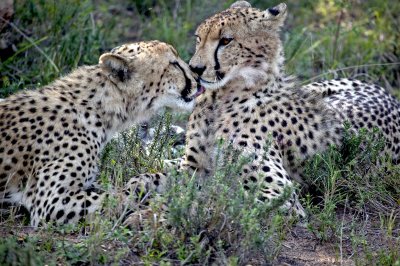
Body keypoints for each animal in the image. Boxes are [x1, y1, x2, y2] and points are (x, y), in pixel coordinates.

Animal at [126, 1, 400, 217]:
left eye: (226, 40)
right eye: (198, 38)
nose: (195, 68)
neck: (222, 98)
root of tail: (390, 97)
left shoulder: (280, 195)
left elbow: (214, 197)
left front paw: (151, 214)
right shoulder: (192, 166)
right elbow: (148, 175)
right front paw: (128, 193)